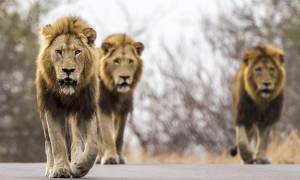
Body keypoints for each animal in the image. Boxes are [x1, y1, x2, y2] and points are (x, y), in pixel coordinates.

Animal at [35, 16, 98, 178]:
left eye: (77, 52)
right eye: (59, 51)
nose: (68, 70)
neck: (68, 94)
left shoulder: (87, 108)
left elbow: (93, 145)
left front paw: (78, 167)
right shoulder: (51, 108)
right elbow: (57, 141)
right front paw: (60, 170)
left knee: (77, 140)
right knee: (48, 143)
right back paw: (51, 168)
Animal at [95, 33, 144, 165]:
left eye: (130, 61)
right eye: (116, 61)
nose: (125, 77)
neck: (116, 91)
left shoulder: (123, 110)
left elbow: (119, 135)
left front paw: (120, 157)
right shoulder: (102, 107)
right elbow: (107, 134)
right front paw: (110, 158)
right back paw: (98, 157)